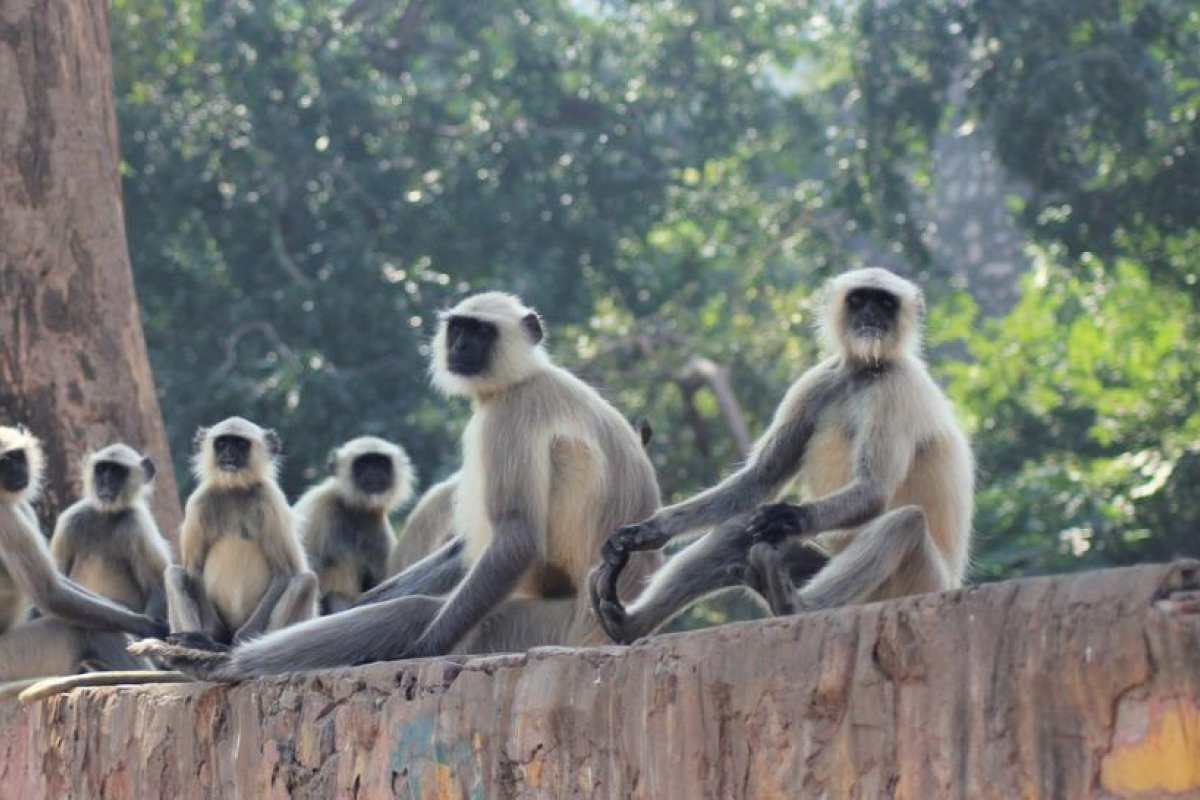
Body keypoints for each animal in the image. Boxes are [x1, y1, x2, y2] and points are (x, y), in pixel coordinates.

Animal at [0, 426, 168, 681]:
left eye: (17, 457)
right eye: (102, 470)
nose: (17, 470)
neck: (106, 516)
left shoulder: (134, 523)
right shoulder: (10, 516)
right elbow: (49, 592)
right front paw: (147, 627)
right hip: (13, 658)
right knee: (86, 628)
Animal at [164, 417, 317, 646]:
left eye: (240, 444)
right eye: (222, 444)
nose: (229, 454)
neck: (234, 489)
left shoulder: (270, 499)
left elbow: (285, 572)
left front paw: (245, 637)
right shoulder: (199, 501)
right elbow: (194, 570)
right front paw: (209, 635)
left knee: (305, 581)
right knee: (174, 574)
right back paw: (200, 640)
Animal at [296, 436, 415, 614]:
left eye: (381, 462)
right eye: (362, 464)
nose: (374, 472)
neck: (354, 509)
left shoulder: (376, 526)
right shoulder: (318, 509)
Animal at [588, 267, 974, 643]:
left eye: (885, 303)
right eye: (859, 299)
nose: (871, 317)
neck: (865, 372)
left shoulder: (896, 388)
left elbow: (874, 488)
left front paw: (790, 516)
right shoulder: (816, 382)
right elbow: (761, 478)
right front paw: (645, 531)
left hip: (918, 584)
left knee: (905, 521)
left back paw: (794, 605)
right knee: (739, 528)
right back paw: (627, 624)